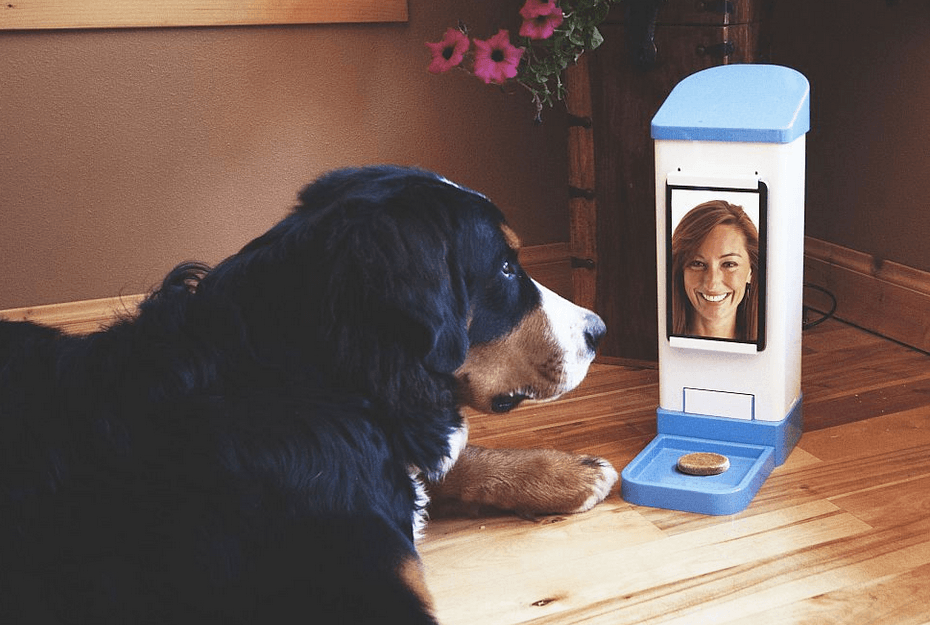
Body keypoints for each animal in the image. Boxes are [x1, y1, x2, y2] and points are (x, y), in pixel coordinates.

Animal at [1, 167, 616, 624]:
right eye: (507, 268)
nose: (600, 330)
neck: (310, 374)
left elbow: (449, 461)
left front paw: (565, 471)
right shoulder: (371, 589)